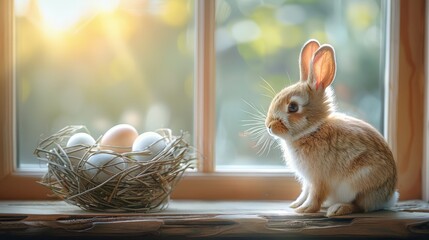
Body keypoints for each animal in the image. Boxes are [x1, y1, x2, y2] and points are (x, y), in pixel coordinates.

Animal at [264, 39, 398, 218]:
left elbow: (315, 195)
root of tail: (388, 198)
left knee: (360, 205)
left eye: (293, 107)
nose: (269, 126)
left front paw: (304, 210)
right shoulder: (307, 180)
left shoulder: (318, 178)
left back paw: (338, 209)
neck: (313, 130)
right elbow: (305, 192)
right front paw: (296, 205)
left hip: (360, 181)